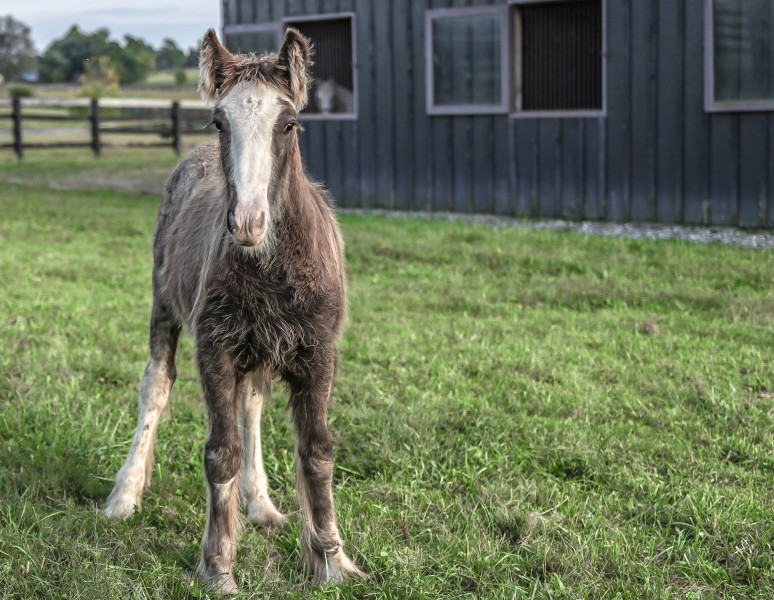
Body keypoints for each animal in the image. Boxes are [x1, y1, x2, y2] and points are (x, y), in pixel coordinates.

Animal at [103, 27, 366, 592]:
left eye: (288, 124)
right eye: (220, 121)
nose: (248, 222)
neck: (270, 269)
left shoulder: (318, 355)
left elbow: (317, 453)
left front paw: (331, 561)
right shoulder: (215, 351)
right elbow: (221, 452)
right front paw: (219, 566)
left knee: (252, 404)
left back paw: (261, 504)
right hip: (164, 308)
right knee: (156, 387)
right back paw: (123, 497)